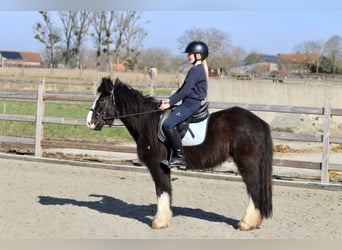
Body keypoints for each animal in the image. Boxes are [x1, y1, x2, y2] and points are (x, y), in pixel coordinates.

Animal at [87, 77, 274, 231]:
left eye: (102, 99)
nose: (90, 122)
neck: (148, 123)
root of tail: (259, 122)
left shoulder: (157, 166)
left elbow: (162, 190)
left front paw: (159, 222)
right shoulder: (164, 167)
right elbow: (167, 190)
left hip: (247, 163)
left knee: (254, 189)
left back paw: (246, 223)